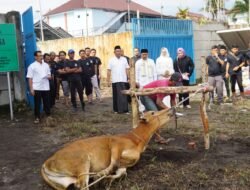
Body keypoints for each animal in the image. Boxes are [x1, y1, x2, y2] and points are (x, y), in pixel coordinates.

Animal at [41, 108, 170, 190]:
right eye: (153, 112)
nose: (171, 109)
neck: (136, 140)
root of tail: (47, 162)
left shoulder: (124, 165)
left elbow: (121, 173)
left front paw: (105, 179)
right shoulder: (115, 145)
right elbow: (113, 164)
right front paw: (100, 176)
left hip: (66, 180)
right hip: (82, 161)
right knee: (82, 185)